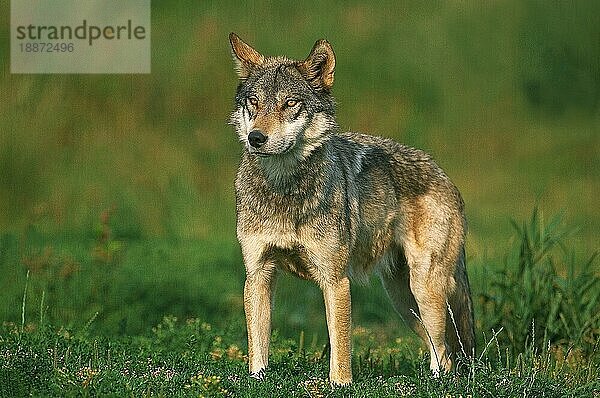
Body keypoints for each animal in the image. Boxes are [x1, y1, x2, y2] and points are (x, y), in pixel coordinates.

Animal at [229, 31, 474, 386]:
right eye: (254, 102)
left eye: (290, 103)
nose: (256, 138)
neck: (284, 188)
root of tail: (444, 175)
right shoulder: (258, 274)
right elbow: (258, 344)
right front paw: (257, 380)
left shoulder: (335, 280)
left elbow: (340, 345)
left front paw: (340, 384)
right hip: (404, 301)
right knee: (440, 348)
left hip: (425, 290)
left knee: (444, 352)